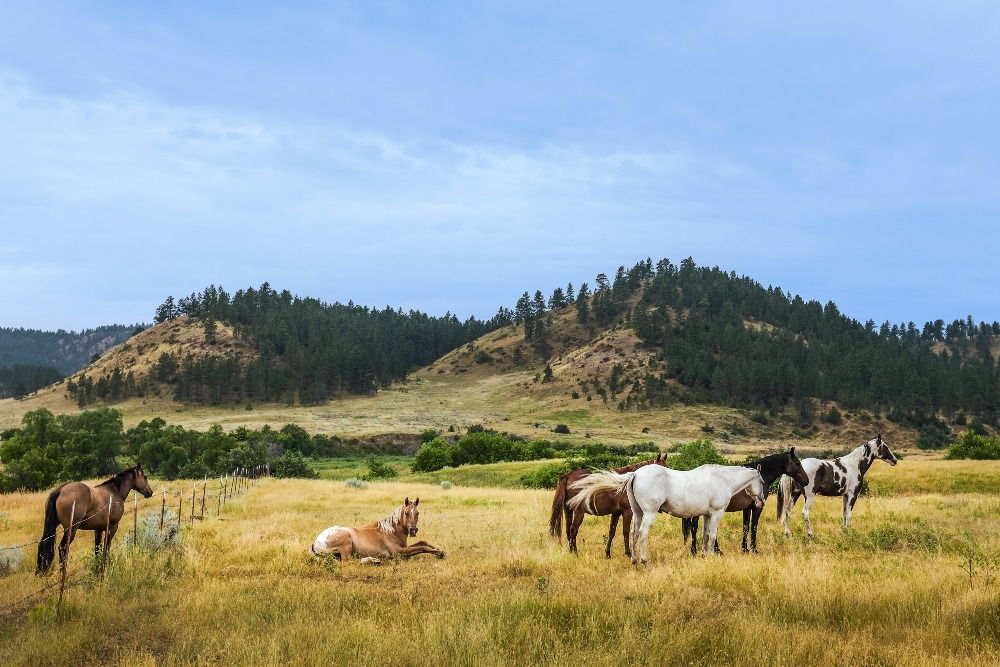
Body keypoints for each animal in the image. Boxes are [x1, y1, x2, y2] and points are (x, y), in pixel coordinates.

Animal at [310, 498, 445, 564]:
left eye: (417, 513)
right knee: (348, 561)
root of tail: (316, 542)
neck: (391, 531)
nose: (413, 530)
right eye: (406, 513)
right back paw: (372, 560)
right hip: (346, 542)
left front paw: (437, 549)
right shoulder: (400, 552)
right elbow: (421, 548)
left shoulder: (404, 548)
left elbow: (422, 543)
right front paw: (439, 553)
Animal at [569, 464, 766, 568]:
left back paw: (634, 561)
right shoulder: (716, 513)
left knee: (633, 533)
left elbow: (704, 536)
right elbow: (712, 536)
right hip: (648, 514)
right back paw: (644, 562)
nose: (761, 502)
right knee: (643, 534)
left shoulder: (706, 515)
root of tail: (636, 473)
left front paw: (703, 556)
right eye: (762, 481)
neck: (723, 479)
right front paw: (711, 556)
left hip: (637, 513)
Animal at [681, 448, 809, 555]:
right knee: (695, 528)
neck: (762, 476)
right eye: (798, 463)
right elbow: (754, 527)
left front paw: (745, 549)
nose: (806, 480)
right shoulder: (757, 507)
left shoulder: (747, 508)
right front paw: (754, 549)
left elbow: (745, 527)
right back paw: (698, 551)